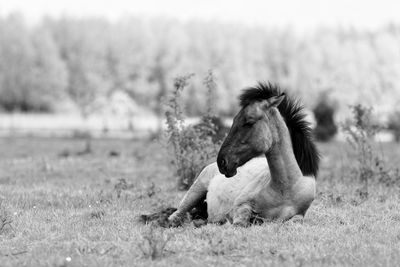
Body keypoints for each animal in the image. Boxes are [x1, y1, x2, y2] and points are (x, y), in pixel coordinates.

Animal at [164, 82, 320, 227]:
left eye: (248, 122)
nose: (222, 162)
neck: (286, 189)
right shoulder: (240, 206)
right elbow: (240, 222)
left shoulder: (299, 215)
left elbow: (294, 220)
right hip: (194, 192)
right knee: (175, 217)